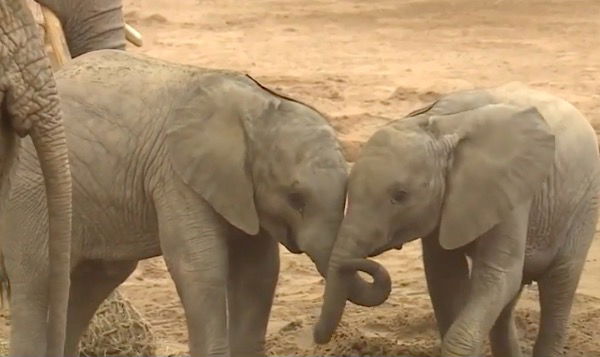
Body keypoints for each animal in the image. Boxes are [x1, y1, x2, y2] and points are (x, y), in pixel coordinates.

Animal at [314, 82, 600, 356]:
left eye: (400, 196)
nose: (318, 340)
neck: (441, 126)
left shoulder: (511, 191)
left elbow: (497, 275)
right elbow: (446, 276)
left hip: (584, 205)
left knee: (559, 284)